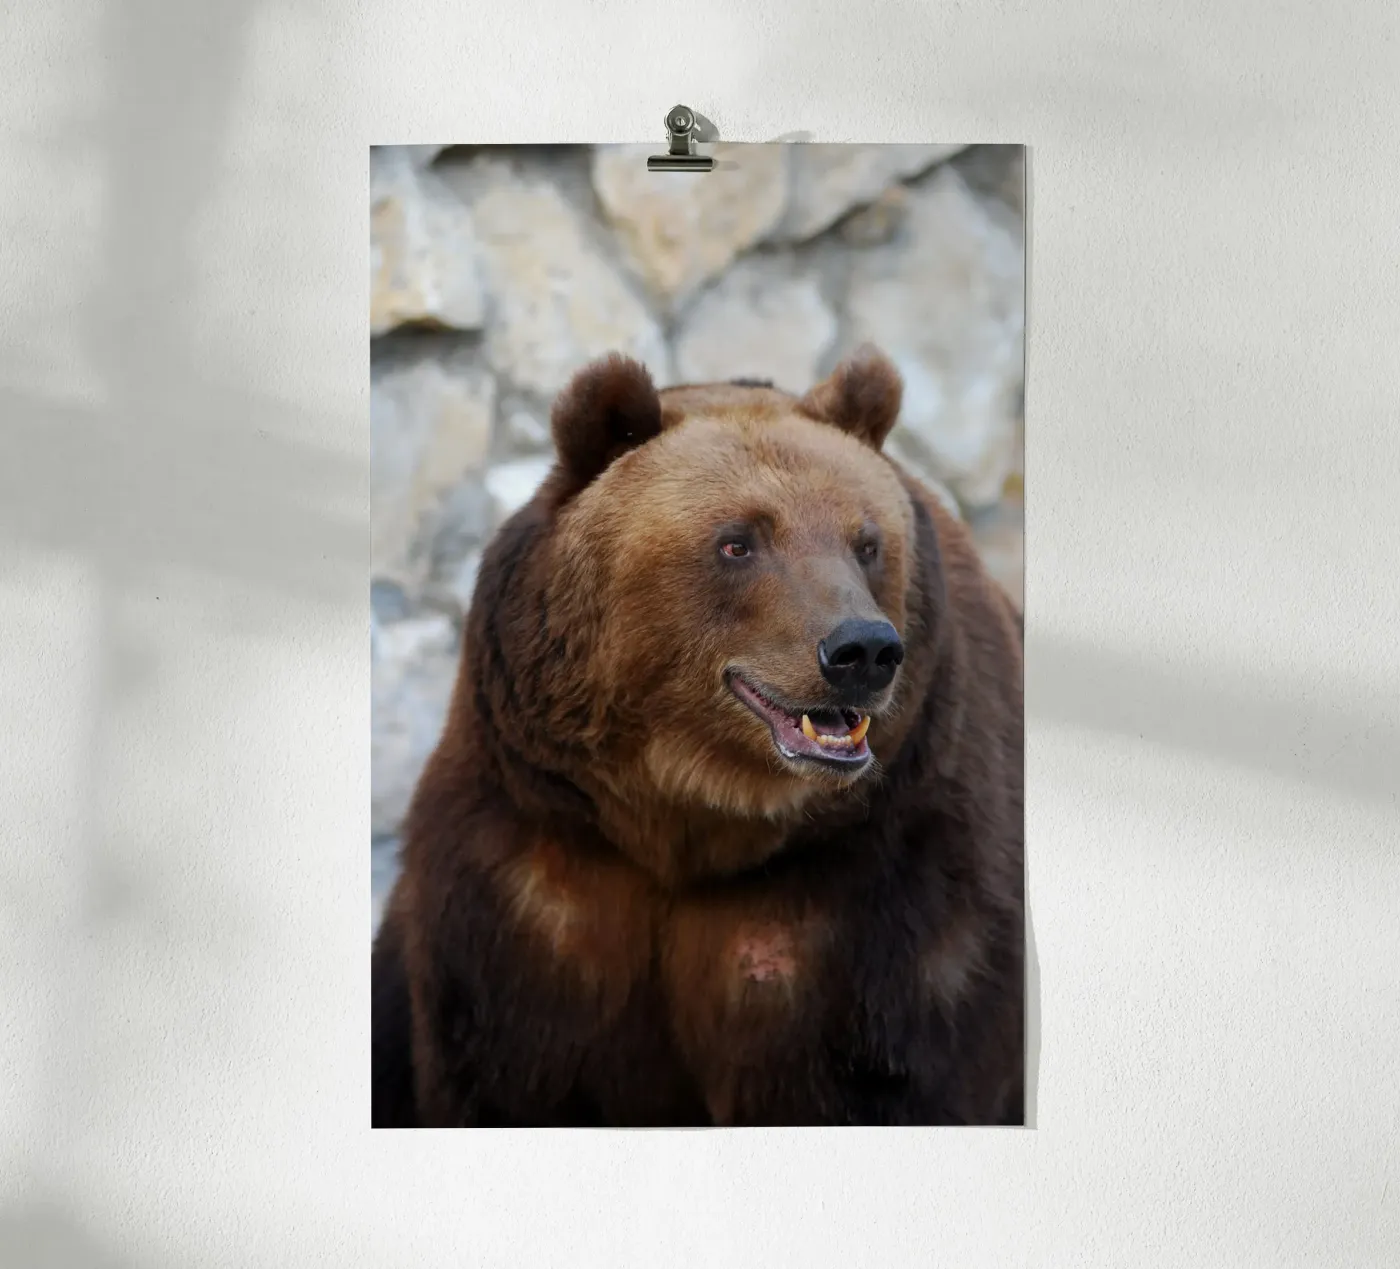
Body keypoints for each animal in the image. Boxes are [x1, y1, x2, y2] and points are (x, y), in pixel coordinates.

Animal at [371, 343, 1024, 1128]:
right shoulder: (535, 873)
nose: (862, 649)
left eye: (867, 541)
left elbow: (888, 1073)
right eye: (738, 541)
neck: (689, 817)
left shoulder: (883, 885)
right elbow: (508, 1072)